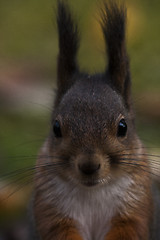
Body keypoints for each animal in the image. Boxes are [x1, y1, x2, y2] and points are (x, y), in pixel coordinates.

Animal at [31, 0, 160, 240]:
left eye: (122, 127)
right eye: (56, 128)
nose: (88, 165)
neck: (92, 192)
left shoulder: (136, 206)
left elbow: (129, 229)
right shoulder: (51, 210)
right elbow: (59, 230)